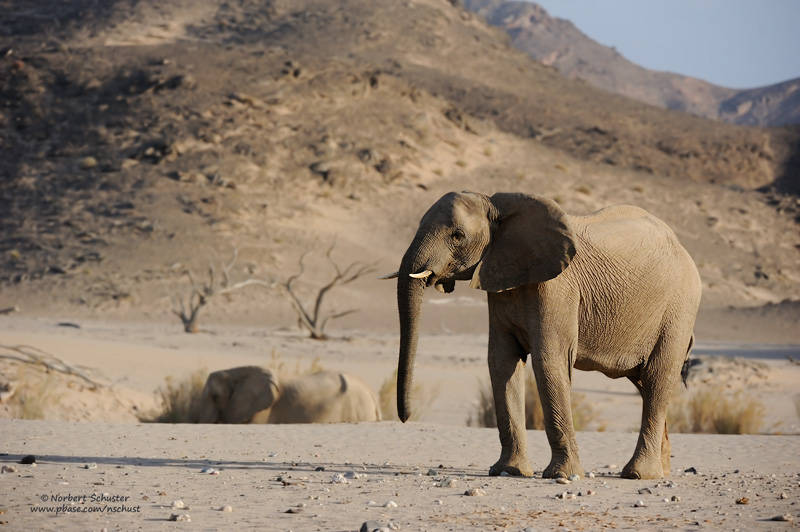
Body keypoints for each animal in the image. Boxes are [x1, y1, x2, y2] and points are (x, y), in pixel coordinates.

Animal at [382, 192, 700, 482]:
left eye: (458, 235)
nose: (405, 417)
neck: (499, 207)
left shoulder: (557, 288)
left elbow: (549, 361)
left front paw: (561, 474)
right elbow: (501, 362)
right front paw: (508, 471)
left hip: (678, 310)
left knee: (658, 376)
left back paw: (639, 474)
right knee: (645, 383)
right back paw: (661, 471)